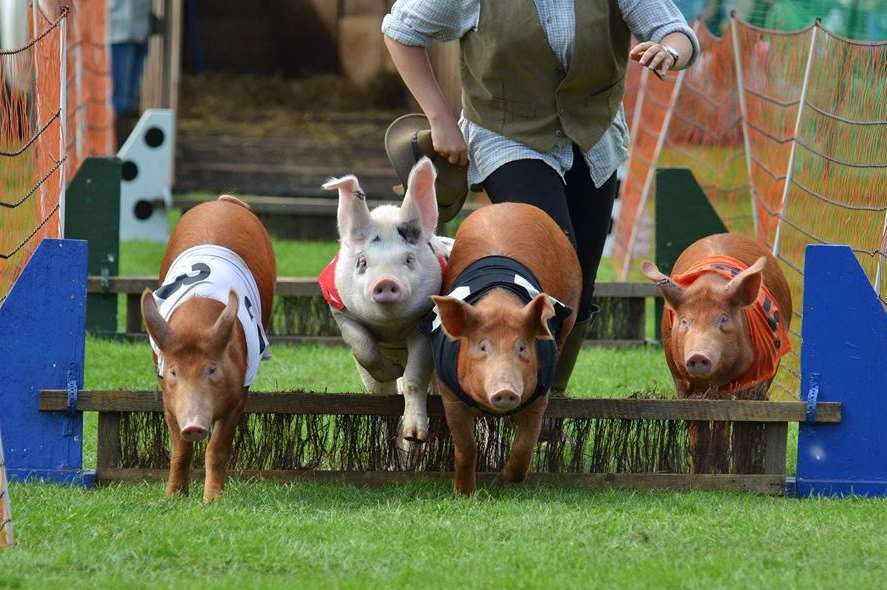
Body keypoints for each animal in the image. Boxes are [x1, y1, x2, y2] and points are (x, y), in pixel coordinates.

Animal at [141, 197, 278, 502]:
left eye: (212, 369)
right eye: (173, 372)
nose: (193, 425)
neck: (195, 323)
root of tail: (222, 201)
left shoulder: (239, 394)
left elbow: (217, 449)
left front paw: (213, 501)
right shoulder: (169, 398)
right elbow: (180, 449)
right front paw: (173, 497)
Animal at [424, 204, 580, 494]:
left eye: (522, 347)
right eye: (482, 346)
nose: (506, 391)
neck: (499, 303)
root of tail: (510, 205)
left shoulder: (539, 391)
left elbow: (524, 444)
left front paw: (504, 481)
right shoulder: (449, 392)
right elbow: (465, 446)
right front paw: (464, 493)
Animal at [640, 234, 796, 474]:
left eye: (723, 319)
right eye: (684, 321)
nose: (697, 356)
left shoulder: (754, 381)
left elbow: (743, 424)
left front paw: (740, 471)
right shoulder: (680, 379)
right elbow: (697, 425)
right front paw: (699, 471)